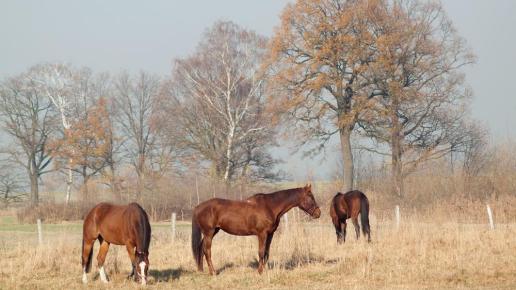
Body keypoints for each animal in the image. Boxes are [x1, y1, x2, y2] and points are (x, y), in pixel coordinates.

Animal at [191, 185, 320, 276]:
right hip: (209, 232)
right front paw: (259, 272)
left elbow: (267, 253)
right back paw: (213, 272)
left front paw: (264, 270)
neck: (270, 206)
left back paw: (201, 270)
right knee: (207, 251)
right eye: (311, 197)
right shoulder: (262, 234)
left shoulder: (270, 234)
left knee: (201, 248)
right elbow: (261, 252)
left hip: (213, 232)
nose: (318, 213)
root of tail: (198, 207)